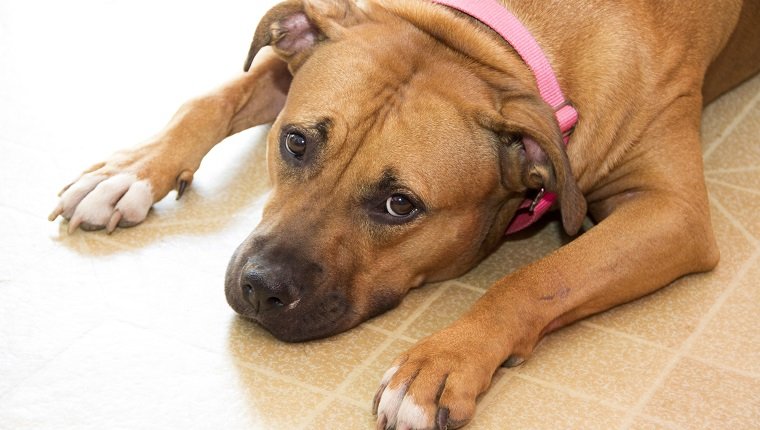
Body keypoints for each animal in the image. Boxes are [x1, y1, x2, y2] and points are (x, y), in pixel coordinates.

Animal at [50, 0, 756, 430]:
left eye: (399, 205)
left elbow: (535, 277)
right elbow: (214, 96)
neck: (487, 48)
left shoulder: (672, 212)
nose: (260, 287)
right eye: (295, 142)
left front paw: (439, 365)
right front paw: (132, 169)